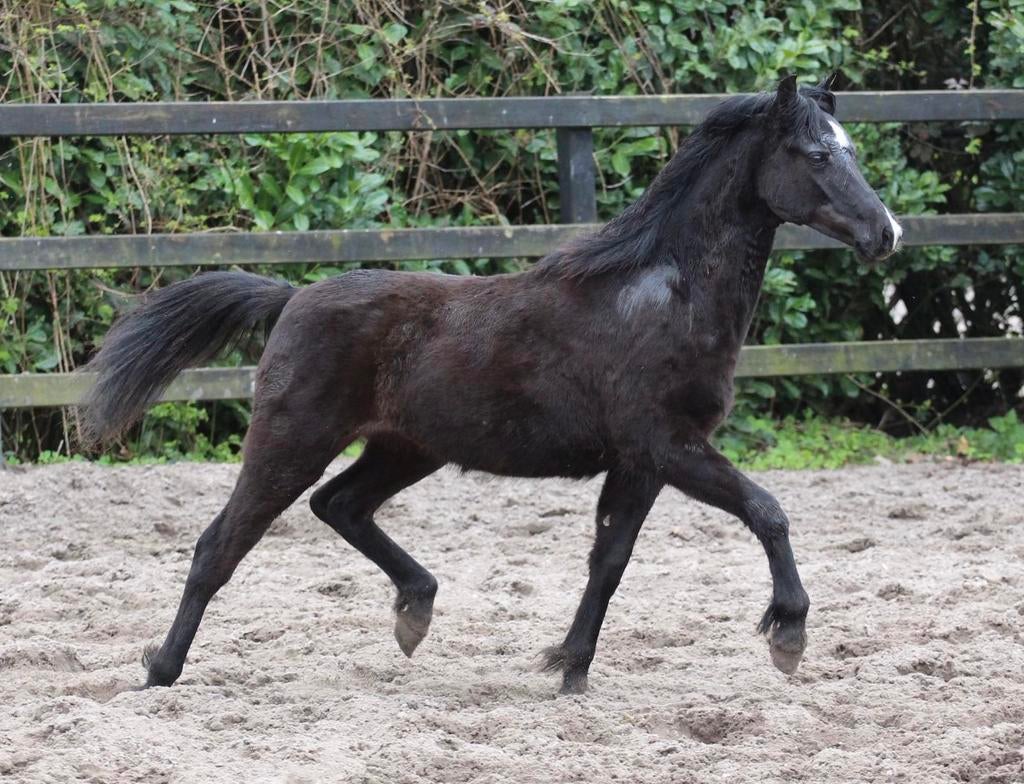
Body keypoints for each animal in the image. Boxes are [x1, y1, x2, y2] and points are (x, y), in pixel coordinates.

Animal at [79, 75, 902, 694]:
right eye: (816, 154)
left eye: (851, 151)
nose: (886, 234)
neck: (661, 295)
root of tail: (291, 298)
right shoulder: (669, 445)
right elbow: (769, 512)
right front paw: (788, 634)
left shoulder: (640, 463)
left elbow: (609, 561)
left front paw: (570, 669)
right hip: (291, 440)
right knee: (221, 544)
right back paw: (161, 668)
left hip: (405, 447)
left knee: (339, 504)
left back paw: (414, 611)